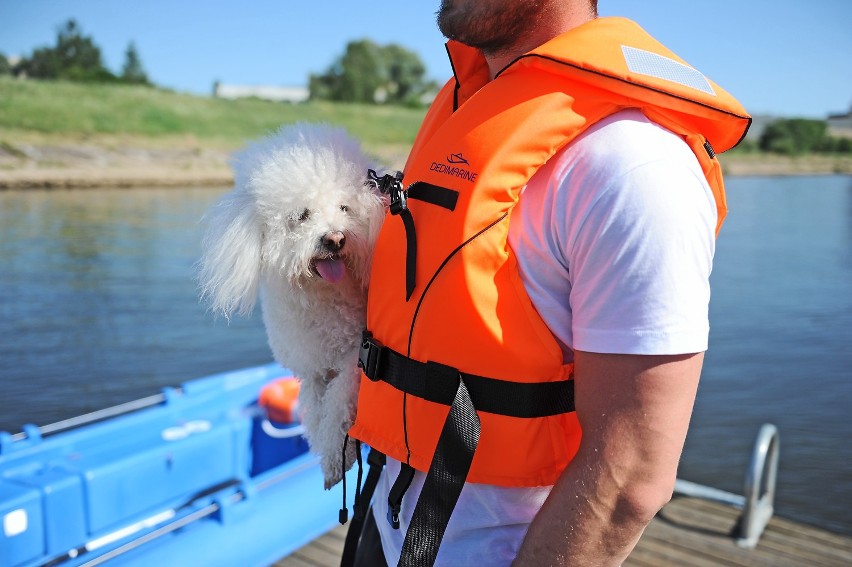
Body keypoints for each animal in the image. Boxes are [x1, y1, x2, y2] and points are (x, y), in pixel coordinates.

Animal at [196, 123, 386, 488]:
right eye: (302, 215)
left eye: (345, 208)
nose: (335, 238)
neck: (322, 298)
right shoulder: (313, 369)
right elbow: (315, 410)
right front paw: (327, 456)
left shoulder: (353, 360)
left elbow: (338, 407)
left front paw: (334, 456)